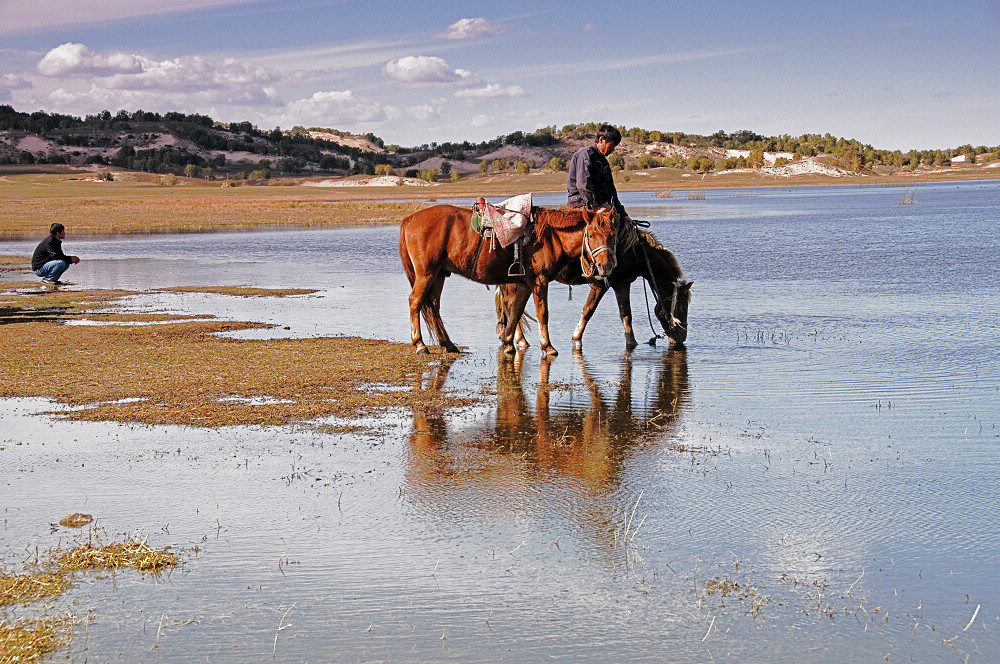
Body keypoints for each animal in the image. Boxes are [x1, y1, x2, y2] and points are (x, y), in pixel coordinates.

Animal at [398, 205, 616, 356]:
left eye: (612, 235)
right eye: (592, 235)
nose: (605, 266)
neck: (550, 236)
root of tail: (411, 218)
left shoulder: (526, 283)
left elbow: (516, 310)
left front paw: (508, 341)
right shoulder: (540, 281)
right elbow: (542, 313)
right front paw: (547, 346)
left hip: (439, 275)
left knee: (433, 305)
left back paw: (448, 344)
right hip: (426, 274)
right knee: (415, 301)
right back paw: (420, 344)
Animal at [498, 228, 692, 350]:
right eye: (683, 306)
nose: (681, 337)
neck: (635, 253)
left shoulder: (622, 283)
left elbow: (626, 314)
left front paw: (632, 343)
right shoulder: (600, 284)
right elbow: (588, 310)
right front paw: (576, 337)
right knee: (511, 306)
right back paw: (519, 340)